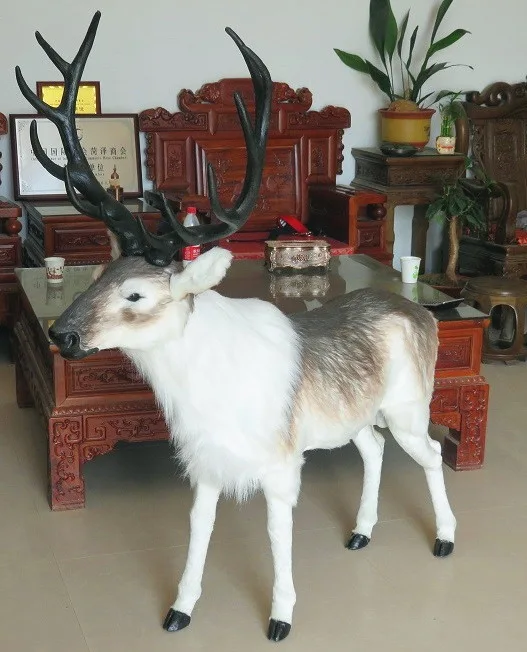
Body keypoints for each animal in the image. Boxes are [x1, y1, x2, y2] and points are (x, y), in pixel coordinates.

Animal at [16, 12, 456, 643]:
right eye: (99, 273)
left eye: (136, 293)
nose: (62, 335)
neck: (204, 394)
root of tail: (424, 314)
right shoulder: (205, 463)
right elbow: (199, 528)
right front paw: (179, 610)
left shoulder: (280, 462)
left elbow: (277, 537)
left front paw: (281, 617)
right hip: (355, 415)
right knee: (372, 448)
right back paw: (360, 532)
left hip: (409, 406)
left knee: (430, 453)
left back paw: (444, 538)